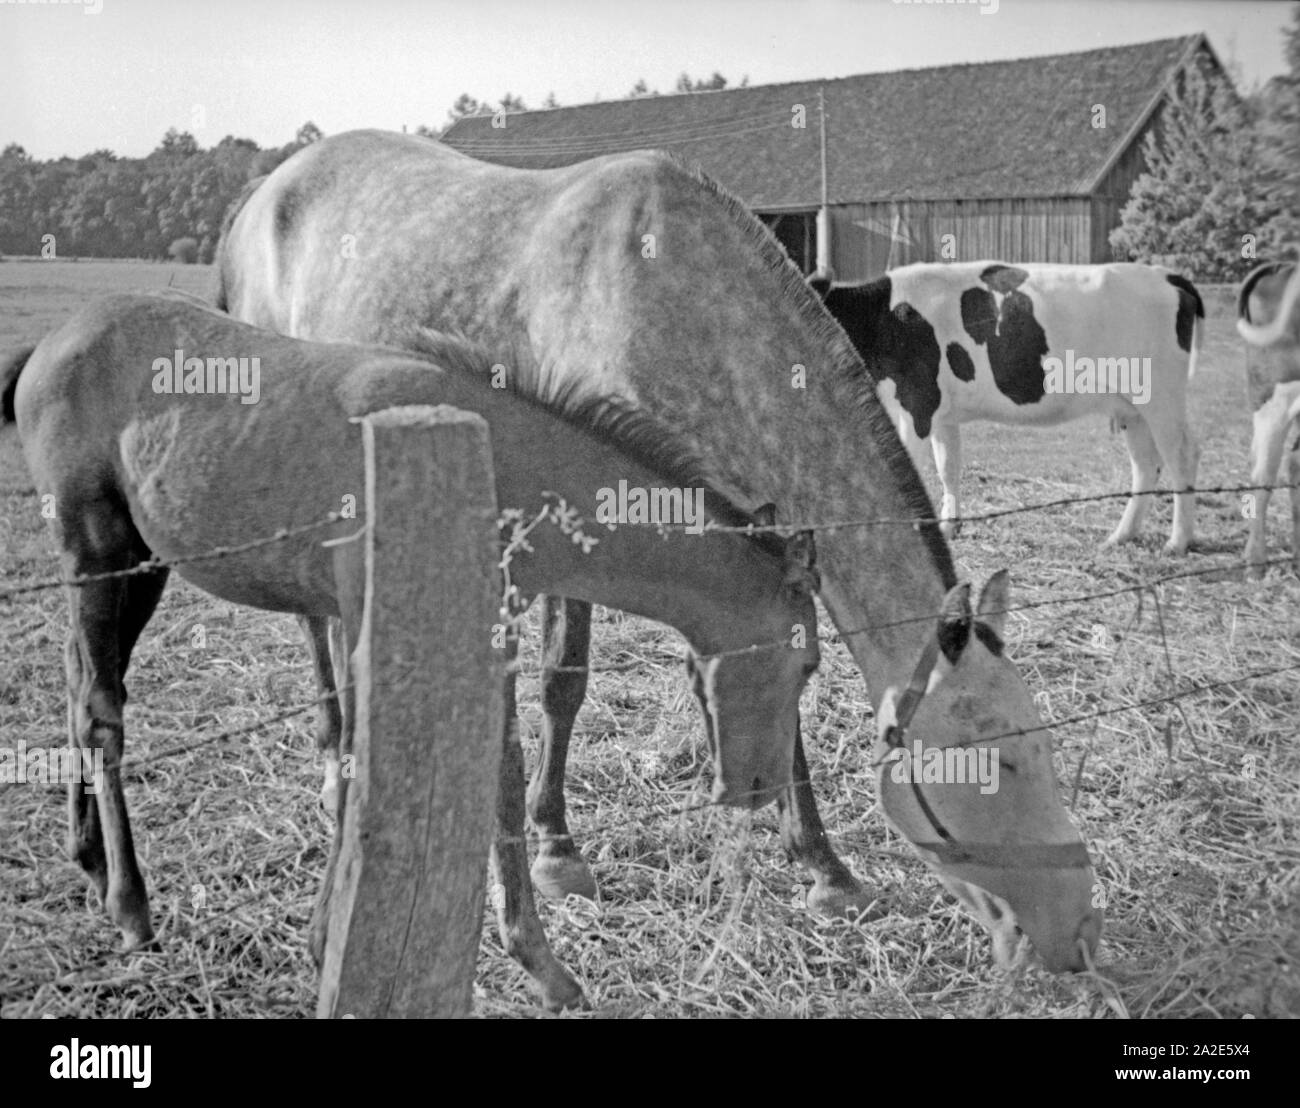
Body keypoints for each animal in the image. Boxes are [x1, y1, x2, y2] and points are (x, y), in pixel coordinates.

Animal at [12, 293, 821, 1014]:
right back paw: (129, 906)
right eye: (806, 663)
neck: (492, 458)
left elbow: (500, 767)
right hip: (94, 548)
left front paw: (534, 962)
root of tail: (51, 343)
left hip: (141, 566)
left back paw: (89, 859)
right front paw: (337, 943)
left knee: (81, 682)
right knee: (100, 711)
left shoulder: (489, 626)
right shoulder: (369, 621)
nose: (754, 791)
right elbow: (371, 757)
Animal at [218, 130, 1102, 972]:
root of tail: (262, 192)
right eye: (997, 760)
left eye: (1045, 745)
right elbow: (564, 681)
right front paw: (557, 851)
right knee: (314, 624)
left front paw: (825, 870)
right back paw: (335, 758)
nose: (1079, 931)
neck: (672, 297)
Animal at [816, 261, 1201, 554]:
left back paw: (1177, 542)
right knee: (1146, 466)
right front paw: (949, 526)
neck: (886, 316)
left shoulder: (918, 403)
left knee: (1181, 458)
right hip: (1133, 410)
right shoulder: (942, 414)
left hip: (1162, 399)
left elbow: (909, 466)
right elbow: (948, 468)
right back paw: (1121, 536)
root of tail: (1165, 275)